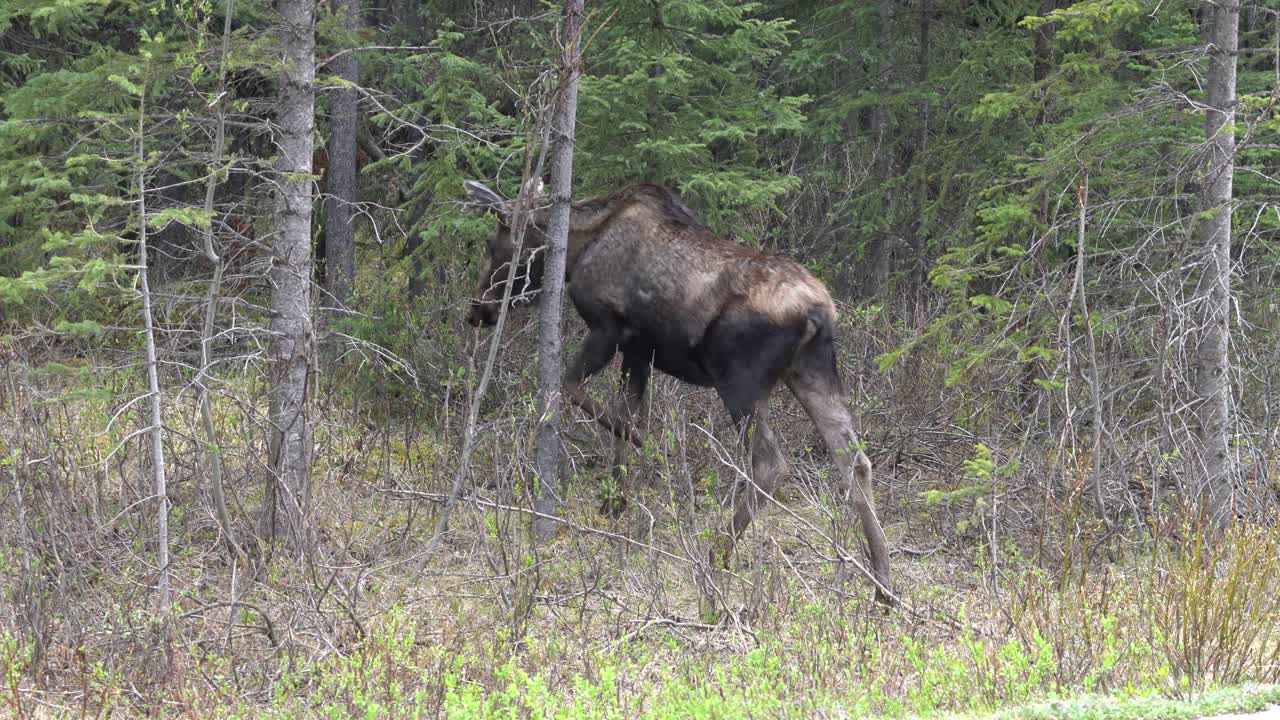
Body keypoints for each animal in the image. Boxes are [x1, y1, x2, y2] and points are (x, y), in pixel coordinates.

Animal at [463, 179, 893, 602]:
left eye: (493, 242)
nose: (476, 310)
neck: (578, 247)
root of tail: (817, 313)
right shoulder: (639, 350)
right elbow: (623, 415)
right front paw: (615, 501)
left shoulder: (609, 328)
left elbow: (576, 391)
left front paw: (648, 451)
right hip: (812, 372)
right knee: (855, 461)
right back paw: (884, 583)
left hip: (740, 383)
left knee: (771, 463)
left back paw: (717, 553)